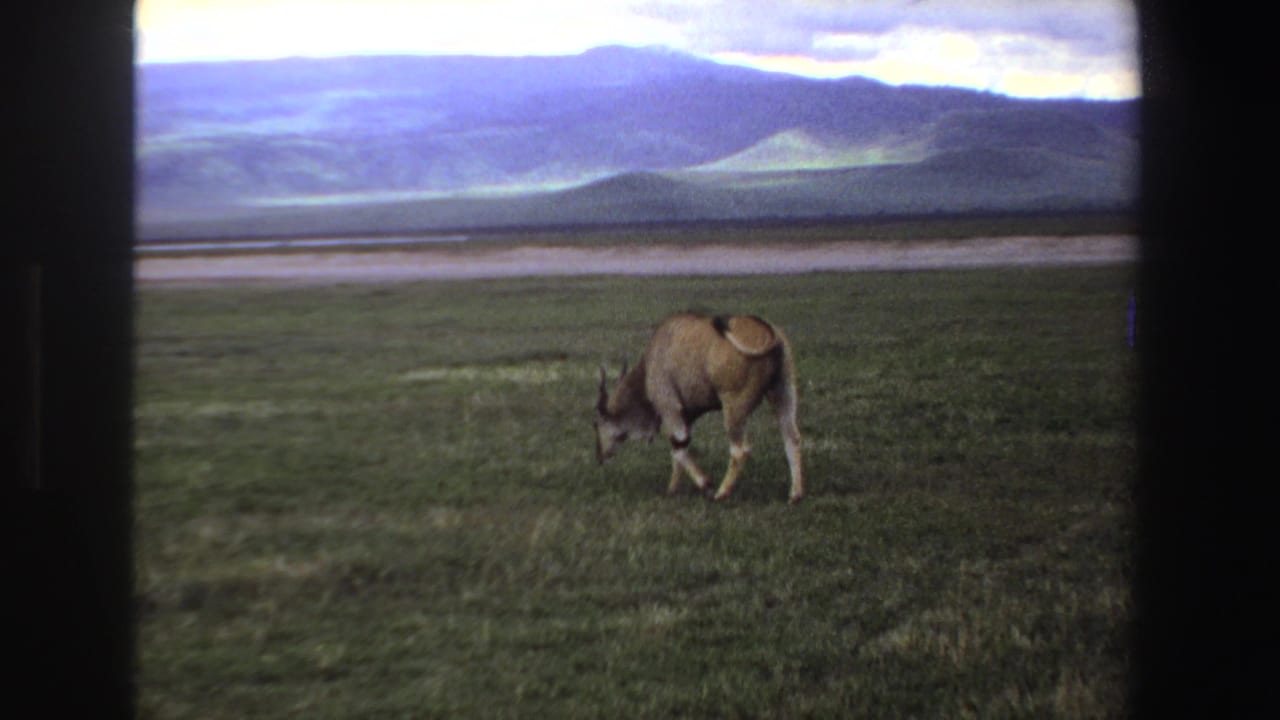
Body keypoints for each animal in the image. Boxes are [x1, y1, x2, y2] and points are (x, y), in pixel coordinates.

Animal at [594, 313, 804, 503]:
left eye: (596, 424)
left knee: (740, 450)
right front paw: (672, 489)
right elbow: (679, 446)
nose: (599, 457)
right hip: (784, 394)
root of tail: (771, 334)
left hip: (733, 407)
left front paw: (706, 484)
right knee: (792, 438)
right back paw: (795, 494)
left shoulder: (670, 408)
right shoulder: (686, 417)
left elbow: (679, 448)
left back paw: (721, 493)